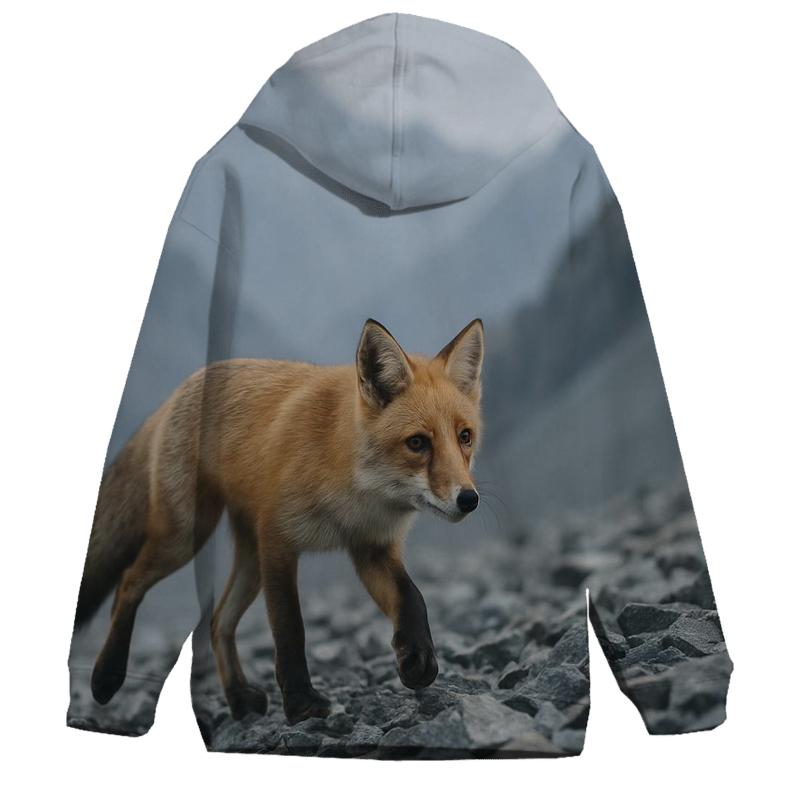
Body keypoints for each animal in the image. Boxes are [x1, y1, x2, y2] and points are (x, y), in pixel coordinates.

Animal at [74, 317, 485, 724]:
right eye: (417, 443)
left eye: (465, 437)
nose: (469, 500)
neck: (355, 492)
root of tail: (185, 385)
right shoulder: (278, 541)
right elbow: (290, 629)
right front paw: (302, 704)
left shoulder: (372, 548)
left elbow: (412, 598)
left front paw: (417, 658)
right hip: (187, 536)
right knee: (128, 584)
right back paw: (107, 676)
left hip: (248, 559)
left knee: (218, 621)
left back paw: (238, 698)